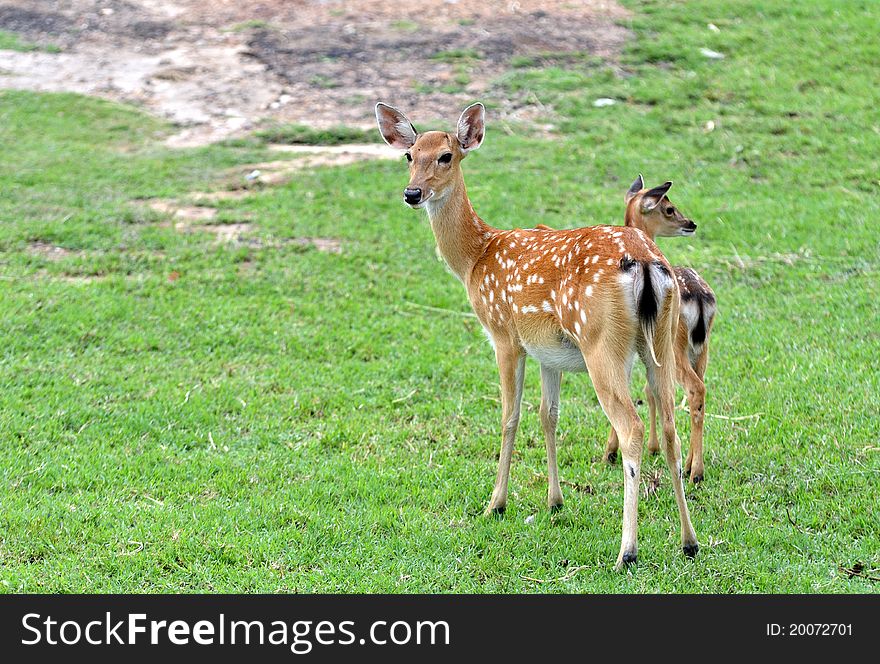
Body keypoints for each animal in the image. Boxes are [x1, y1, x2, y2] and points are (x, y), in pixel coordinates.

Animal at [374, 101, 696, 568]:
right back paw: (689, 542)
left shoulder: (504, 335)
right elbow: (549, 415)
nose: (412, 193)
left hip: (602, 343)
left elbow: (509, 416)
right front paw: (555, 500)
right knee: (670, 423)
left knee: (632, 427)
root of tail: (646, 262)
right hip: (660, 341)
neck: (476, 257)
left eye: (446, 156)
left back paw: (627, 552)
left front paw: (496, 503)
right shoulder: (550, 352)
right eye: (409, 155)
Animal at [600, 176, 720, 482]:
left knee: (694, 389)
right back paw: (689, 464)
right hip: (702, 349)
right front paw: (653, 447)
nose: (691, 223)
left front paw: (611, 452)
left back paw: (696, 471)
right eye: (669, 208)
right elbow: (650, 390)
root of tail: (700, 299)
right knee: (698, 392)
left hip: (673, 346)